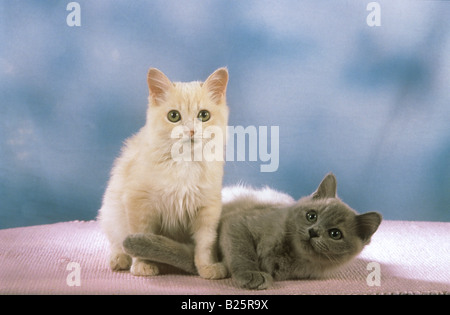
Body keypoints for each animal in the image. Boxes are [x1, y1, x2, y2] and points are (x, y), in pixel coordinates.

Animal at [97, 68, 229, 280]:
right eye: (174, 116)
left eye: (204, 115)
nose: (191, 131)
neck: (184, 163)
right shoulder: (138, 203)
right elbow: (140, 237)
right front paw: (143, 265)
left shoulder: (208, 207)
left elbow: (205, 243)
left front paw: (207, 267)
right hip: (111, 212)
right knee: (117, 242)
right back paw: (119, 259)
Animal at [122, 174, 380, 290]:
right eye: (311, 215)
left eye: (335, 234)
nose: (314, 231)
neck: (288, 254)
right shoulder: (238, 223)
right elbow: (242, 252)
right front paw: (251, 274)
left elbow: (190, 258)